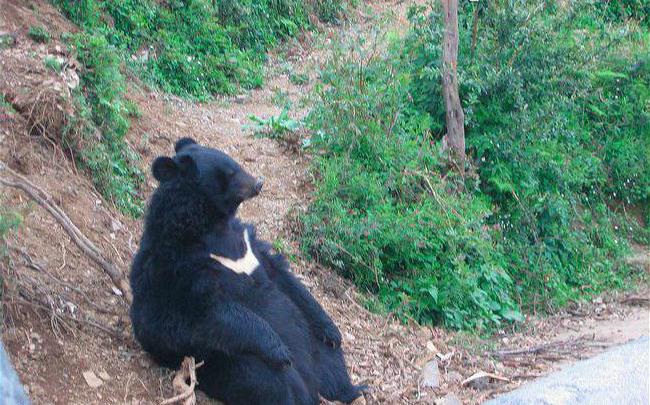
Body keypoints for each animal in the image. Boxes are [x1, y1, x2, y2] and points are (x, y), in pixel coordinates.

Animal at [129, 138, 362, 404]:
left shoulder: (249, 243)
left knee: (333, 365)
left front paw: (332, 330)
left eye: (235, 163)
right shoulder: (175, 268)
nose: (259, 183)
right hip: (239, 366)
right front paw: (278, 349)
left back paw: (352, 389)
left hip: (317, 349)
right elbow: (204, 314)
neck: (211, 224)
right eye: (229, 174)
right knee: (274, 385)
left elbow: (284, 276)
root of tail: (312, 384)